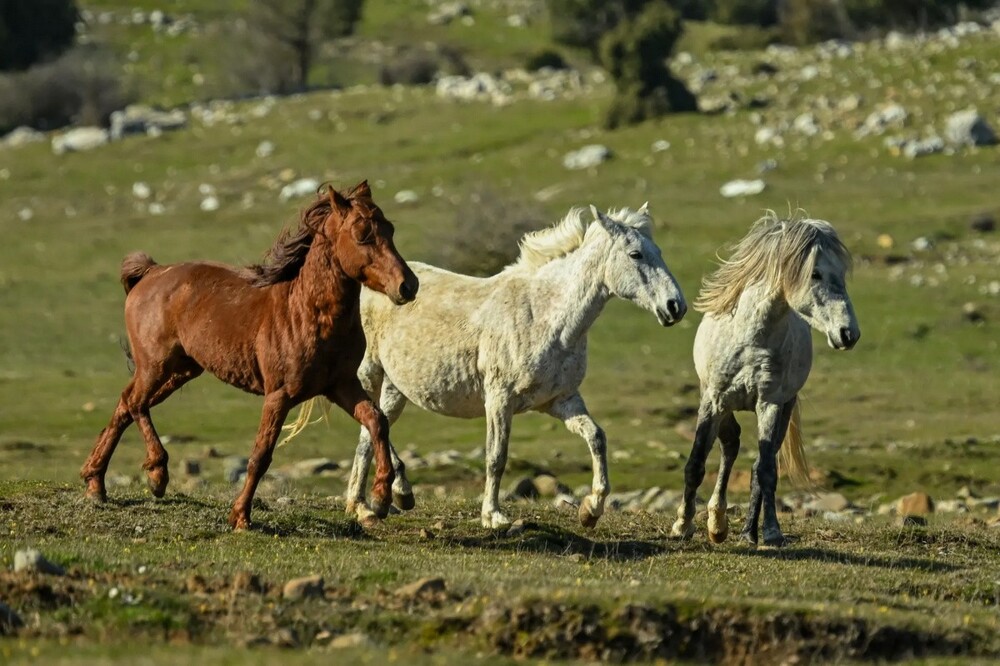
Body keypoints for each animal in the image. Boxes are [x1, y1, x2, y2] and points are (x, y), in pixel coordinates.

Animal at [80, 179, 418, 528]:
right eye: (362, 234)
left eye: (389, 229)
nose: (408, 285)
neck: (307, 311)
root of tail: (151, 273)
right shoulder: (279, 395)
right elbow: (261, 455)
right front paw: (240, 516)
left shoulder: (341, 386)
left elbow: (376, 421)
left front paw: (383, 498)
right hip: (156, 367)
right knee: (135, 403)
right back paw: (156, 474)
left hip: (179, 372)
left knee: (126, 405)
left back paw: (95, 483)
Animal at [292, 205, 688, 528]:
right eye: (635, 254)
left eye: (659, 251)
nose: (675, 307)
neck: (545, 317)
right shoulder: (499, 399)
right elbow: (497, 456)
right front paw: (493, 515)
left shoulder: (561, 400)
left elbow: (597, 437)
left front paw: (591, 510)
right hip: (368, 373)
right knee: (371, 424)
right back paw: (390, 496)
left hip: (395, 387)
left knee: (373, 428)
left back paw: (365, 504)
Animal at [676, 213, 864, 544]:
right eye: (815, 273)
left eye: (841, 272)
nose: (848, 334)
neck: (751, 338)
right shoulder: (713, 401)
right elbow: (696, 464)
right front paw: (683, 525)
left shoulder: (771, 404)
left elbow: (766, 472)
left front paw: (773, 532)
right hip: (722, 407)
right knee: (731, 445)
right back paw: (718, 523)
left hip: (783, 408)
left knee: (757, 465)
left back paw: (748, 532)